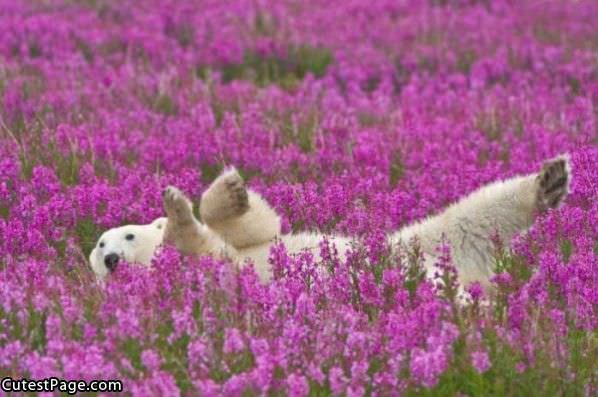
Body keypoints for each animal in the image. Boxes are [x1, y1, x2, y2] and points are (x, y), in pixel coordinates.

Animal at [89, 155, 572, 290]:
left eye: (123, 235)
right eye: (99, 248)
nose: (111, 259)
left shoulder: (250, 243)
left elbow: (259, 226)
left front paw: (227, 190)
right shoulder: (212, 272)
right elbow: (198, 248)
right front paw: (177, 212)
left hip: (423, 243)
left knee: (475, 215)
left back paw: (550, 180)